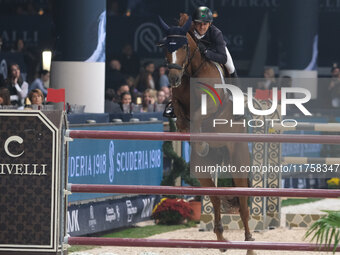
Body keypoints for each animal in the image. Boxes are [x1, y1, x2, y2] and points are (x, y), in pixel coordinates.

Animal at [159, 13, 255, 251]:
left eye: (183, 46)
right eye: (165, 46)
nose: (173, 78)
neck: (191, 70)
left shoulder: (211, 104)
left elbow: (199, 114)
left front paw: (200, 141)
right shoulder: (179, 104)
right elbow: (182, 119)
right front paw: (194, 139)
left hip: (238, 161)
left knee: (242, 203)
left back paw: (249, 242)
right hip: (202, 170)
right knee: (216, 196)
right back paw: (221, 239)